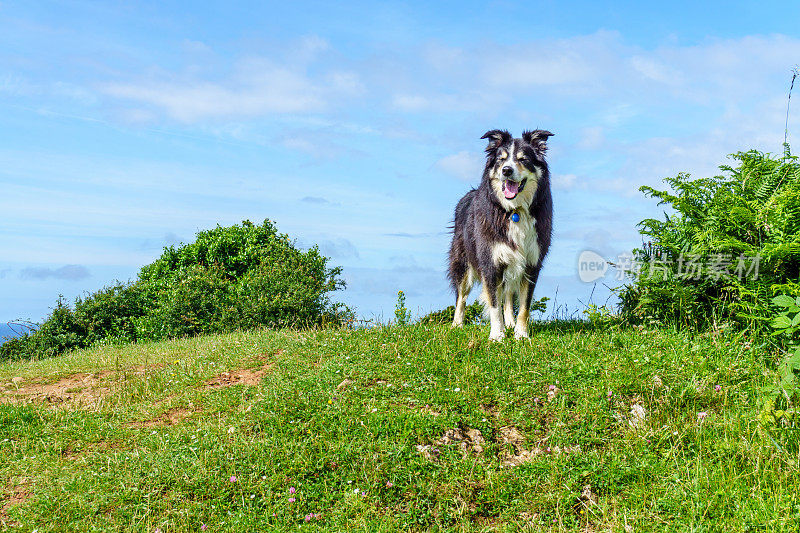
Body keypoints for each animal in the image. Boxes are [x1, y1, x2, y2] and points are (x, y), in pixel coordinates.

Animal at [446, 128, 552, 340]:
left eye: (523, 159)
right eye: (501, 160)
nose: (506, 171)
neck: (514, 210)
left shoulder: (531, 263)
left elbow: (524, 305)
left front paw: (521, 334)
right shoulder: (491, 262)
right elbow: (494, 303)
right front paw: (497, 336)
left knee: (509, 295)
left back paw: (510, 323)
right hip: (463, 261)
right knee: (461, 295)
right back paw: (457, 325)